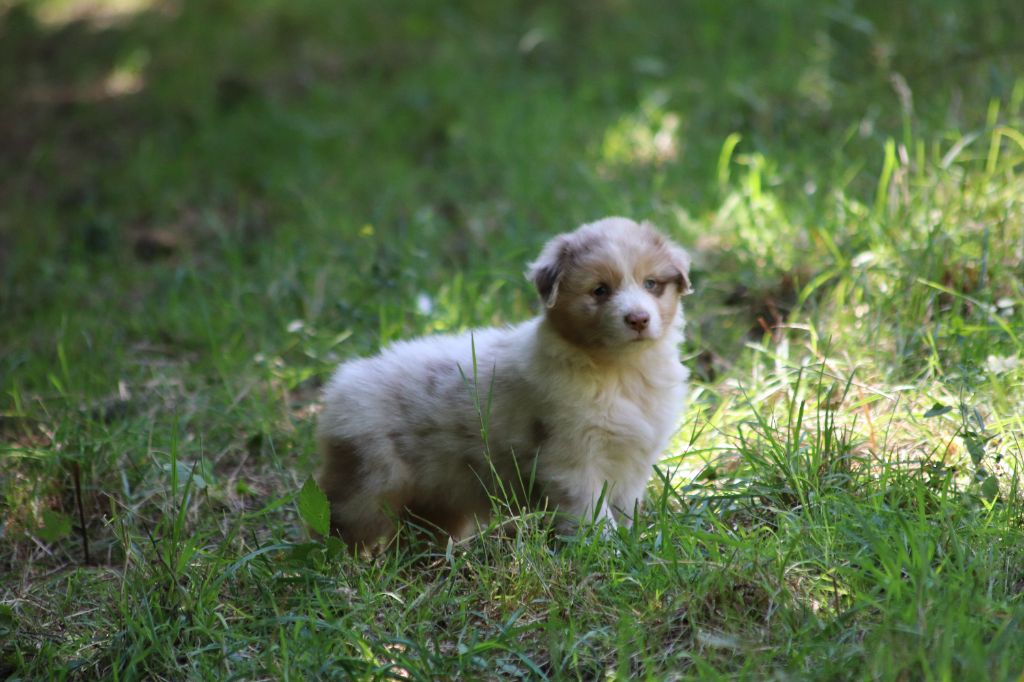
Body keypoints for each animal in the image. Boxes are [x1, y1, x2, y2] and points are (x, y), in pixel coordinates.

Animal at [316, 217, 692, 549]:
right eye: (600, 290)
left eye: (651, 284)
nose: (638, 319)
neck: (620, 371)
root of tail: (342, 383)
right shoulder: (572, 462)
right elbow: (593, 516)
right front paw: (607, 551)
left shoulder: (632, 462)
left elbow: (623, 510)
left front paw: (629, 547)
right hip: (369, 485)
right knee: (338, 526)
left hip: (437, 497)